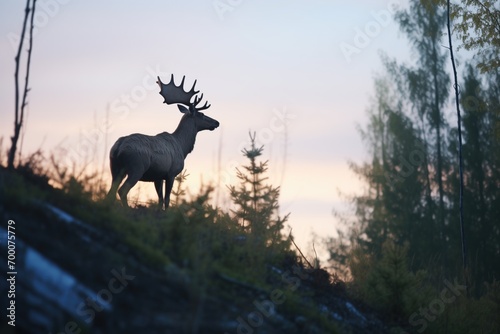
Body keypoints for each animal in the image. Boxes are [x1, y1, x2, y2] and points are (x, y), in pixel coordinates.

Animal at [107, 74, 219, 209]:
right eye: (202, 114)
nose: (216, 122)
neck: (182, 147)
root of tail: (118, 147)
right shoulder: (171, 173)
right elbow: (167, 199)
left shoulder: (158, 176)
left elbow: (160, 200)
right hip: (137, 166)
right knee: (122, 190)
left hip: (115, 167)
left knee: (111, 191)